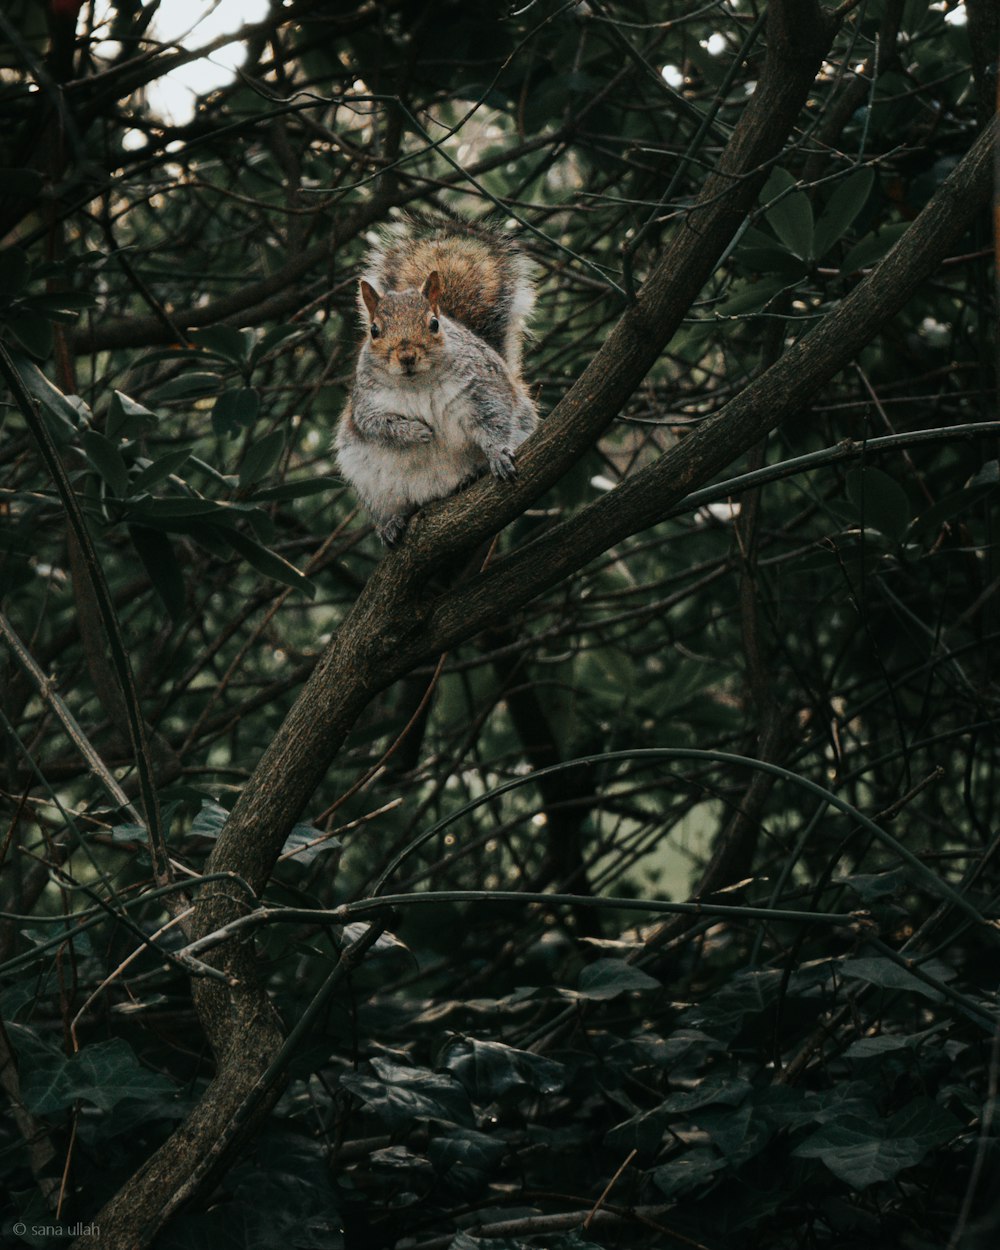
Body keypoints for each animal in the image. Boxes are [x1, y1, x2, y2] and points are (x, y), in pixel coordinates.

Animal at [335, 222, 540, 545]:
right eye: (374, 330)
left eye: (434, 323)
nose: (407, 356)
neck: (417, 384)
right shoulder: (366, 403)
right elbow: (376, 426)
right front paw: (417, 432)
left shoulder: (481, 387)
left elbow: (493, 419)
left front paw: (497, 454)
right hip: (373, 486)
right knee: (391, 506)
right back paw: (391, 523)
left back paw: (471, 476)